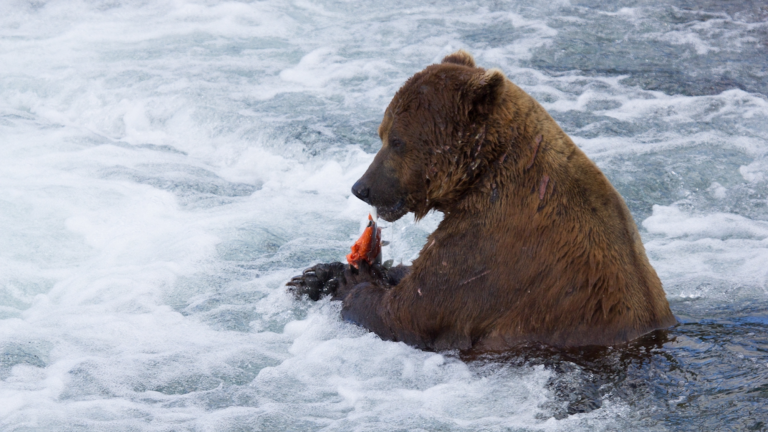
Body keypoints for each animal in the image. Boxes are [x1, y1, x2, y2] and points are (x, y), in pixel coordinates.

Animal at [287, 50, 676, 351]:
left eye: (396, 141)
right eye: (381, 133)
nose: (361, 187)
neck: (482, 174)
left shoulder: (492, 244)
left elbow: (413, 310)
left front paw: (351, 281)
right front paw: (314, 275)